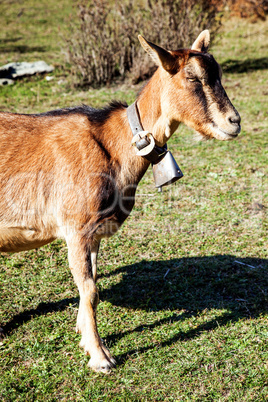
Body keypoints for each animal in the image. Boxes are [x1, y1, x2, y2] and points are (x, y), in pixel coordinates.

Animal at [0, 32, 241, 374]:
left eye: (218, 73)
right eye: (192, 77)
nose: (234, 122)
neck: (112, 145)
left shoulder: (94, 233)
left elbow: (91, 285)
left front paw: (84, 335)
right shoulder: (76, 228)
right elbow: (90, 289)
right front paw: (101, 357)